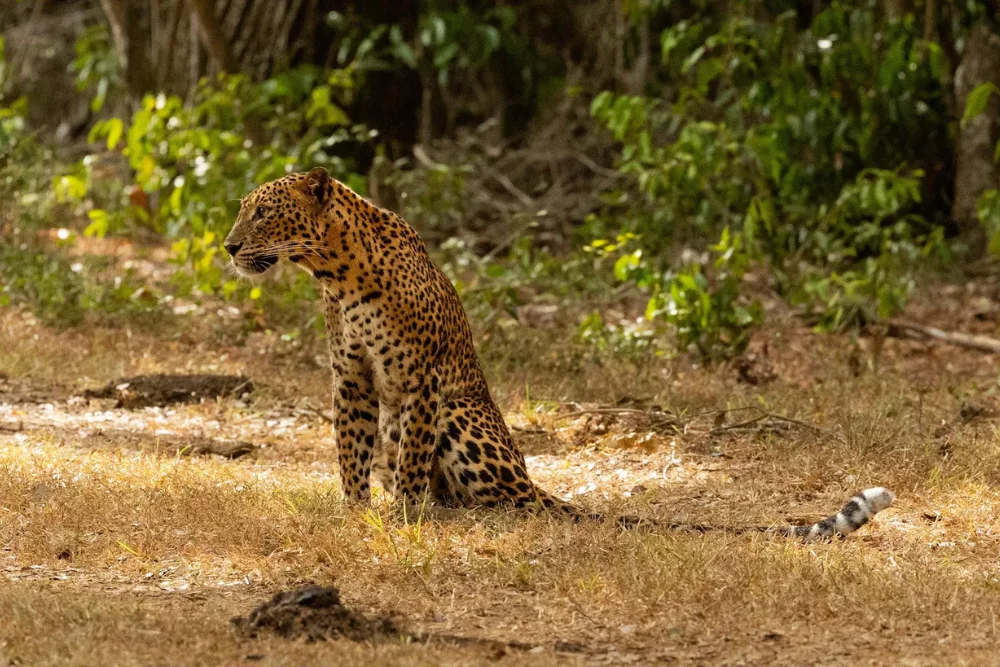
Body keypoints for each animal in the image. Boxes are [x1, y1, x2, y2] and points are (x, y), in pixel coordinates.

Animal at [223, 168, 896, 544]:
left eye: (263, 212)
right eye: (243, 210)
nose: (229, 246)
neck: (335, 272)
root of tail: (530, 480)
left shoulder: (418, 379)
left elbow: (411, 462)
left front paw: (403, 519)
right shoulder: (354, 377)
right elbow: (349, 452)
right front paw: (355, 514)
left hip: (462, 415)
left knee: (494, 499)